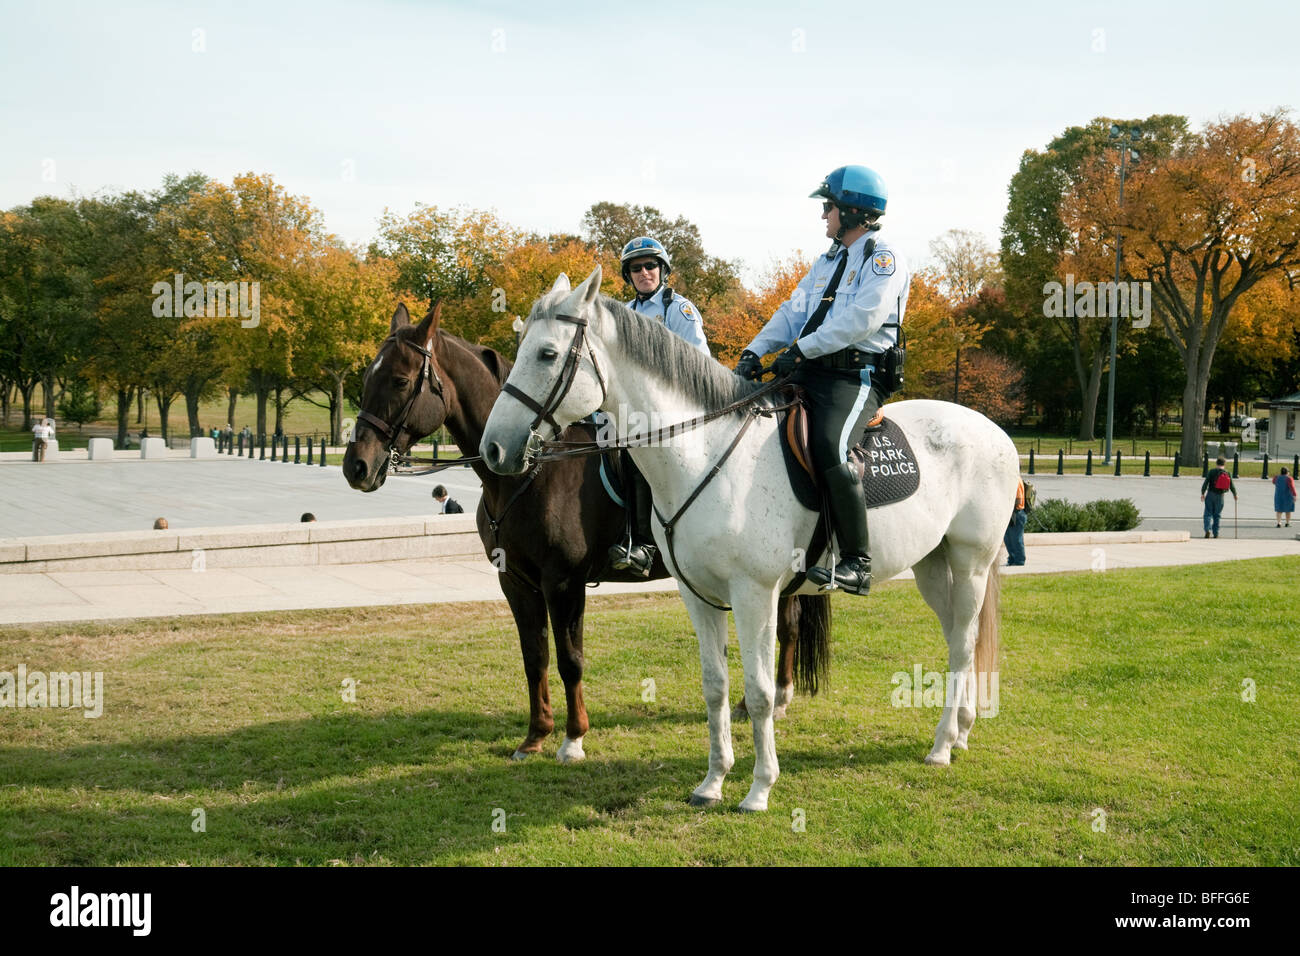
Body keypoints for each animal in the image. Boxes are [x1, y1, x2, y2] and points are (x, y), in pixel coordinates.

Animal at [343, 303, 832, 764]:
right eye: (367, 377)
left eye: (401, 381)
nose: (356, 467)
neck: (530, 472)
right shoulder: (515, 581)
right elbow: (535, 657)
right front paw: (535, 735)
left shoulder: (563, 581)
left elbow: (569, 659)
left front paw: (573, 737)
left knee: (787, 626)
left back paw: (776, 699)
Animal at [483, 269, 1019, 816]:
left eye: (547, 353)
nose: (494, 448)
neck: (705, 452)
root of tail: (994, 429)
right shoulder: (696, 595)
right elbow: (715, 686)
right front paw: (713, 781)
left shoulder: (754, 594)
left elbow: (758, 692)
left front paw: (760, 788)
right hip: (933, 565)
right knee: (958, 638)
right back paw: (960, 732)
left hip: (971, 563)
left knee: (963, 644)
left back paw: (941, 745)